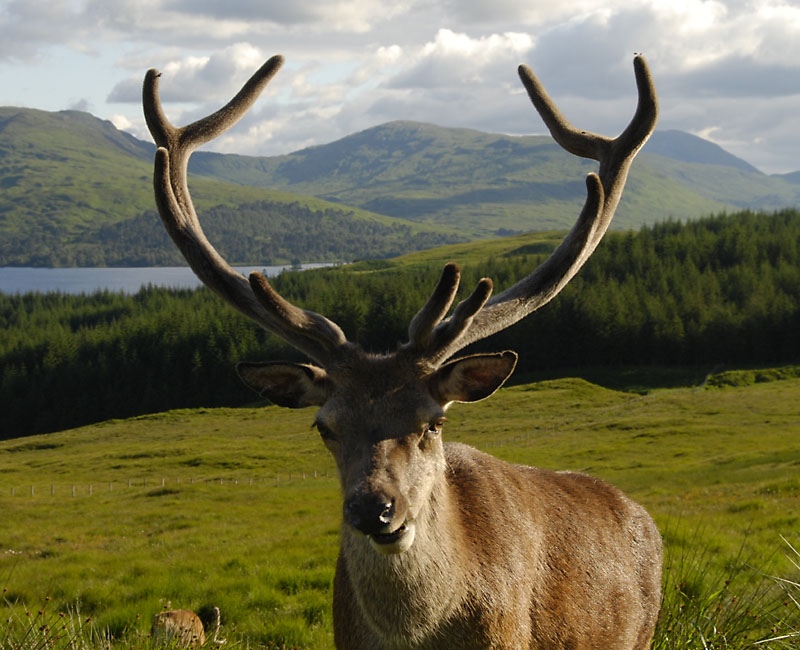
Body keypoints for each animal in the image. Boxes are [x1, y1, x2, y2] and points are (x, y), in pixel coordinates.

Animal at [142, 52, 664, 648]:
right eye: (324, 426)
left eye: (434, 422)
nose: (374, 508)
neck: (414, 635)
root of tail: (640, 514)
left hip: (642, 632)